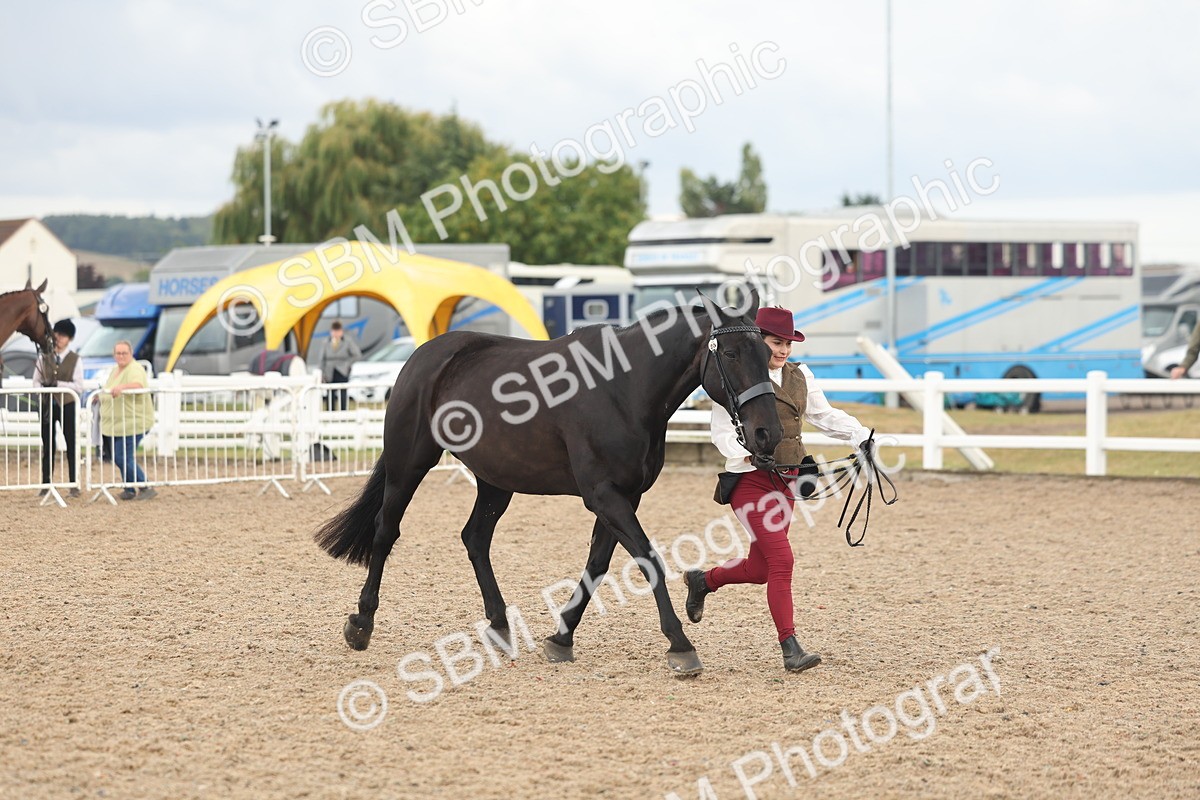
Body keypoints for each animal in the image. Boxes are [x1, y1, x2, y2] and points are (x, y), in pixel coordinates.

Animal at [315, 292, 783, 675]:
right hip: (408, 465)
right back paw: (361, 622)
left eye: (766, 352)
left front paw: (561, 637)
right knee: (386, 531)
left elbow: (597, 564)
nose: (768, 434)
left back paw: (499, 625)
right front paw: (680, 644)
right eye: (733, 353)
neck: (623, 389)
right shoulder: (604, 496)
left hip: (495, 481)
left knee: (475, 537)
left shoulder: (623, 497)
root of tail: (423, 356)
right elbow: (648, 559)